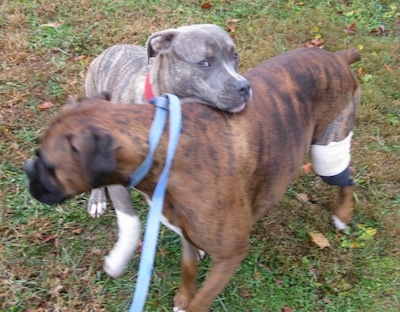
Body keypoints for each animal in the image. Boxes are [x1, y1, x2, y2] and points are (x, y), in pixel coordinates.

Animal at [26, 47, 360, 310]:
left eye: (46, 162)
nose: (28, 168)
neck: (166, 147)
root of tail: (338, 57)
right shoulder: (186, 232)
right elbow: (188, 271)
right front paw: (181, 300)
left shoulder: (230, 255)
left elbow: (203, 299)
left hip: (327, 154)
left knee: (348, 179)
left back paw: (343, 216)